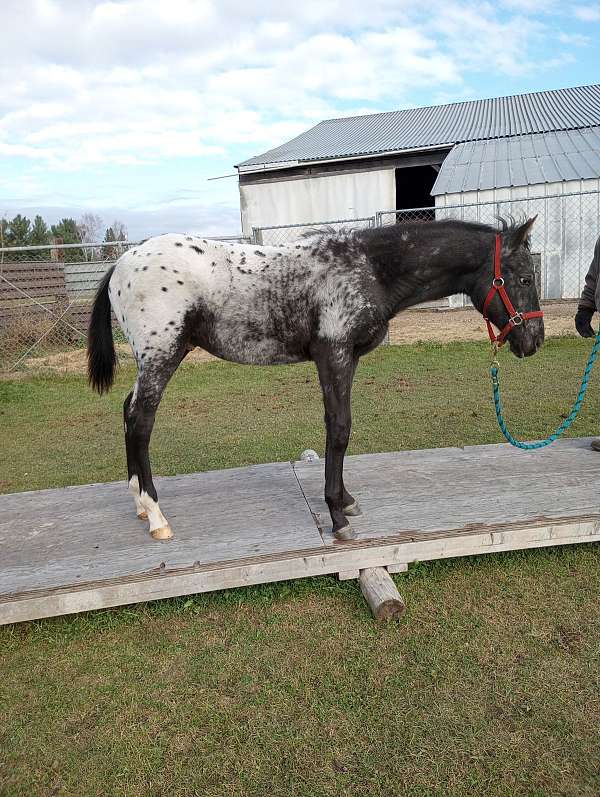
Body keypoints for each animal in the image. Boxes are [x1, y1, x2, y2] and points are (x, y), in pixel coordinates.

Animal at [88, 217, 544, 542]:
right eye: (524, 277)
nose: (534, 340)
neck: (369, 269)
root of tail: (121, 263)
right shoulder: (333, 356)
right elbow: (338, 429)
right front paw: (338, 516)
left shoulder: (348, 359)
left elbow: (341, 429)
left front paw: (346, 501)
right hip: (161, 356)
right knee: (140, 421)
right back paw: (156, 517)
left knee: (128, 412)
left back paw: (140, 506)